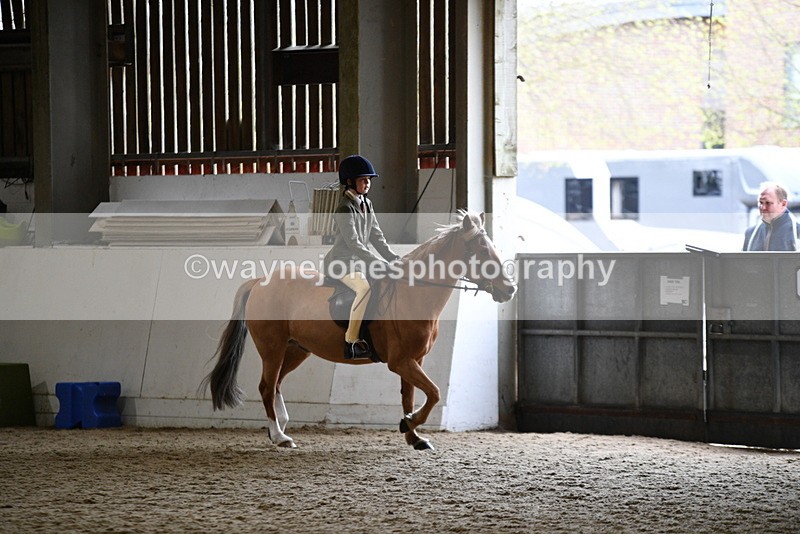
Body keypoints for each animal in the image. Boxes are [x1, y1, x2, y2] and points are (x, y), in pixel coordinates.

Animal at [202, 210, 517, 450]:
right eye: (481, 251)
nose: (509, 289)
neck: (413, 293)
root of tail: (259, 282)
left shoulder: (414, 360)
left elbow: (411, 397)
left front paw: (414, 436)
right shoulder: (401, 361)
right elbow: (435, 393)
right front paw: (409, 423)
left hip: (296, 349)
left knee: (276, 383)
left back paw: (279, 427)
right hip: (272, 348)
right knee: (267, 387)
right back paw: (280, 436)